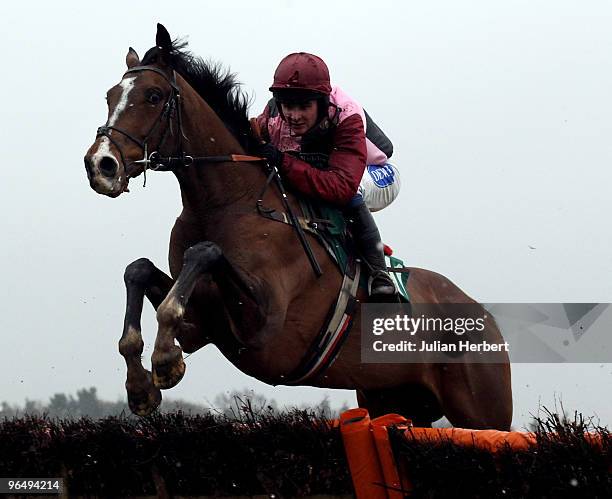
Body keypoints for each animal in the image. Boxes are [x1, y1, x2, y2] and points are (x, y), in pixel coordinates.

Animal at [81, 24, 512, 430]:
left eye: (154, 95)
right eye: (109, 96)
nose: (101, 165)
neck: (225, 203)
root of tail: (486, 316)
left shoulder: (263, 329)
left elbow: (205, 253)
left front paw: (165, 360)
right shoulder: (202, 326)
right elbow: (138, 271)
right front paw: (141, 385)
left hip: (484, 410)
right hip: (390, 399)